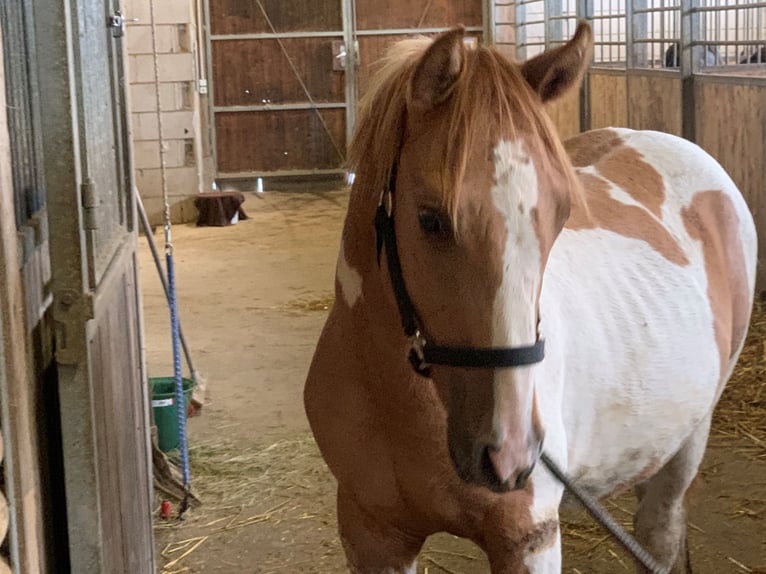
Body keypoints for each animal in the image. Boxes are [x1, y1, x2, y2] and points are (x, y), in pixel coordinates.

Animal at [304, 22, 760, 574]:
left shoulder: (528, 538)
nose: (509, 452)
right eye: (430, 219)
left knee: (660, 528)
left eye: (562, 216)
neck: (402, 401)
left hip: (687, 439)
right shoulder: (372, 534)